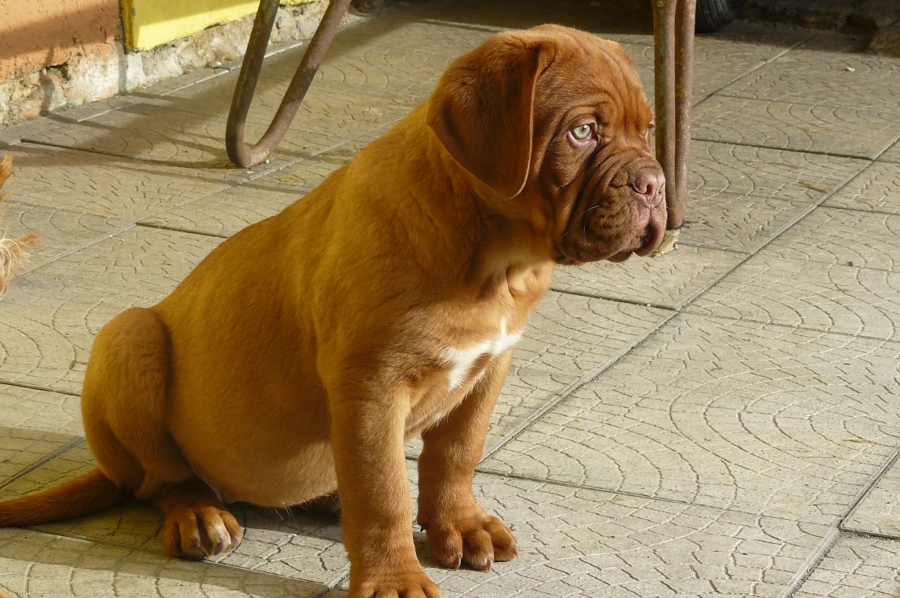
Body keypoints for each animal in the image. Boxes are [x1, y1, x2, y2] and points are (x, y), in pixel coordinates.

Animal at [0, 25, 665, 597]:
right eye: (582, 132)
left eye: (650, 129)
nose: (654, 185)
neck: (494, 263)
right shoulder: (371, 385)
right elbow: (383, 494)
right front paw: (395, 577)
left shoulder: (489, 368)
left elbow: (456, 454)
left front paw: (459, 523)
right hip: (128, 337)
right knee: (161, 478)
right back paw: (198, 515)